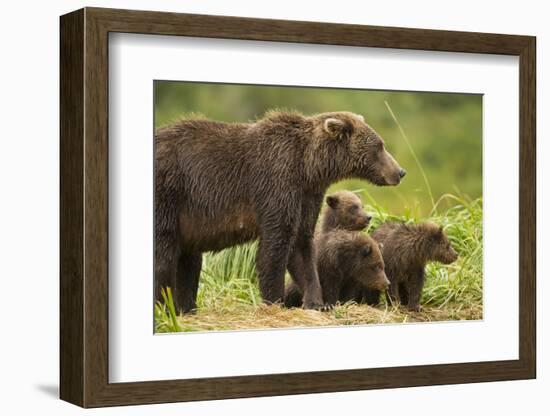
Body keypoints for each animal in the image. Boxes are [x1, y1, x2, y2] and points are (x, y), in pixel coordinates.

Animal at [154, 110, 406, 312]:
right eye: (379, 147)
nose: (400, 171)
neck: (308, 167)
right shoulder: (276, 185)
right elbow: (276, 245)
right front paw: (275, 300)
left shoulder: (306, 197)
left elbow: (302, 247)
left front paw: (317, 302)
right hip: (170, 193)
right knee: (164, 255)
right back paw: (165, 308)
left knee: (188, 262)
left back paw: (186, 308)